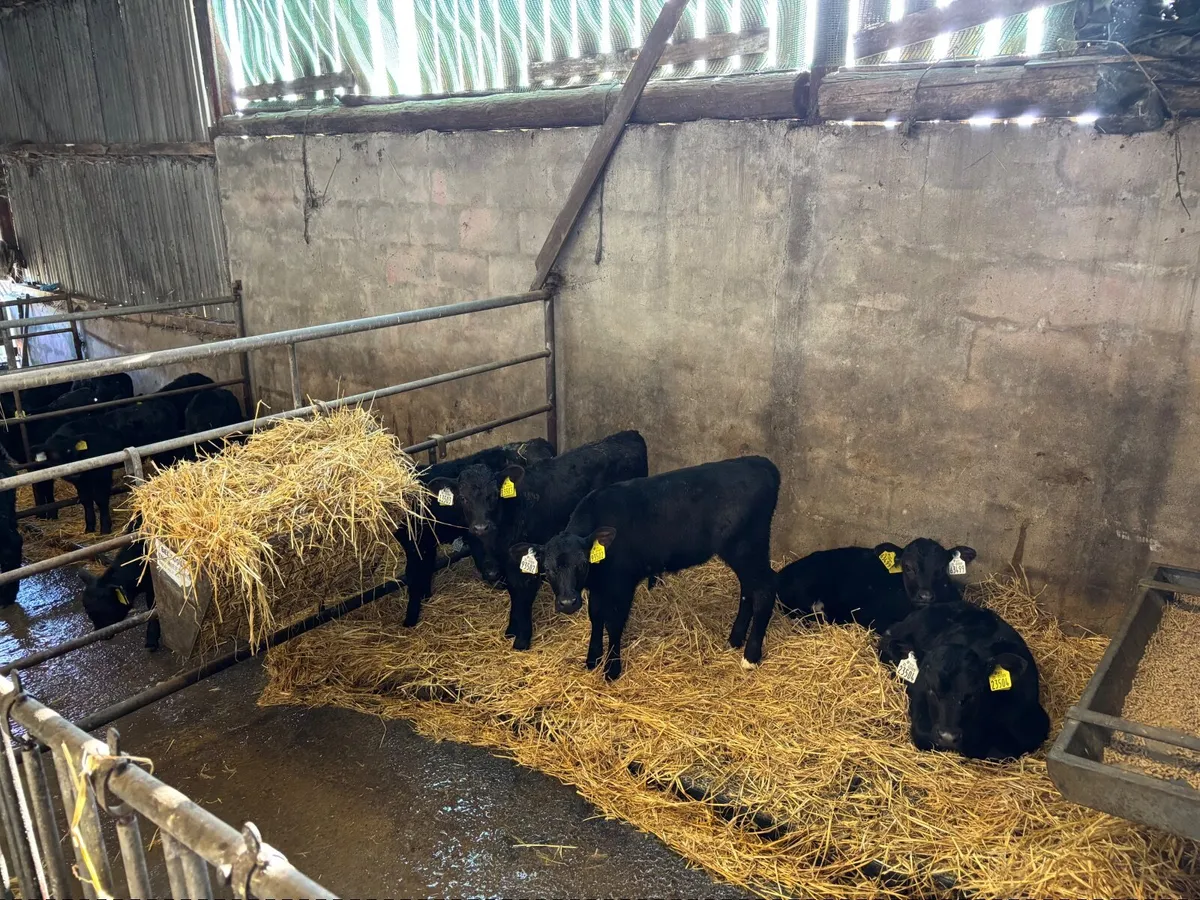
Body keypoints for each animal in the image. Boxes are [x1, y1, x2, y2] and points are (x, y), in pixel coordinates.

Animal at [78, 521, 160, 649]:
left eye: (105, 610)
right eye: (88, 613)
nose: (103, 636)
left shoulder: (153, 587)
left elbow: (152, 610)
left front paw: (152, 640)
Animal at [395, 438, 555, 627]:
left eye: (493, 495)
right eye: (462, 498)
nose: (480, 527)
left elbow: (414, 575)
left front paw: (410, 618)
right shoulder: (424, 544)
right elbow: (424, 570)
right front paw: (425, 598)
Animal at [431, 430, 648, 650]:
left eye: (493, 496)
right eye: (463, 498)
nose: (481, 527)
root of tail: (628, 434)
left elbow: (523, 596)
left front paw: (522, 639)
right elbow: (514, 593)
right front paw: (511, 630)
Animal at [510, 455, 779, 680]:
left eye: (582, 564)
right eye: (548, 569)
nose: (567, 603)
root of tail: (761, 463)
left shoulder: (622, 583)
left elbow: (613, 623)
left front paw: (612, 669)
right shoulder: (599, 585)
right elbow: (596, 616)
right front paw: (592, 659)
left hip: (747, 547)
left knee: (764, 591)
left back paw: (750, 656)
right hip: (743, 553)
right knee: (748, 590)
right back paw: (734, 640)